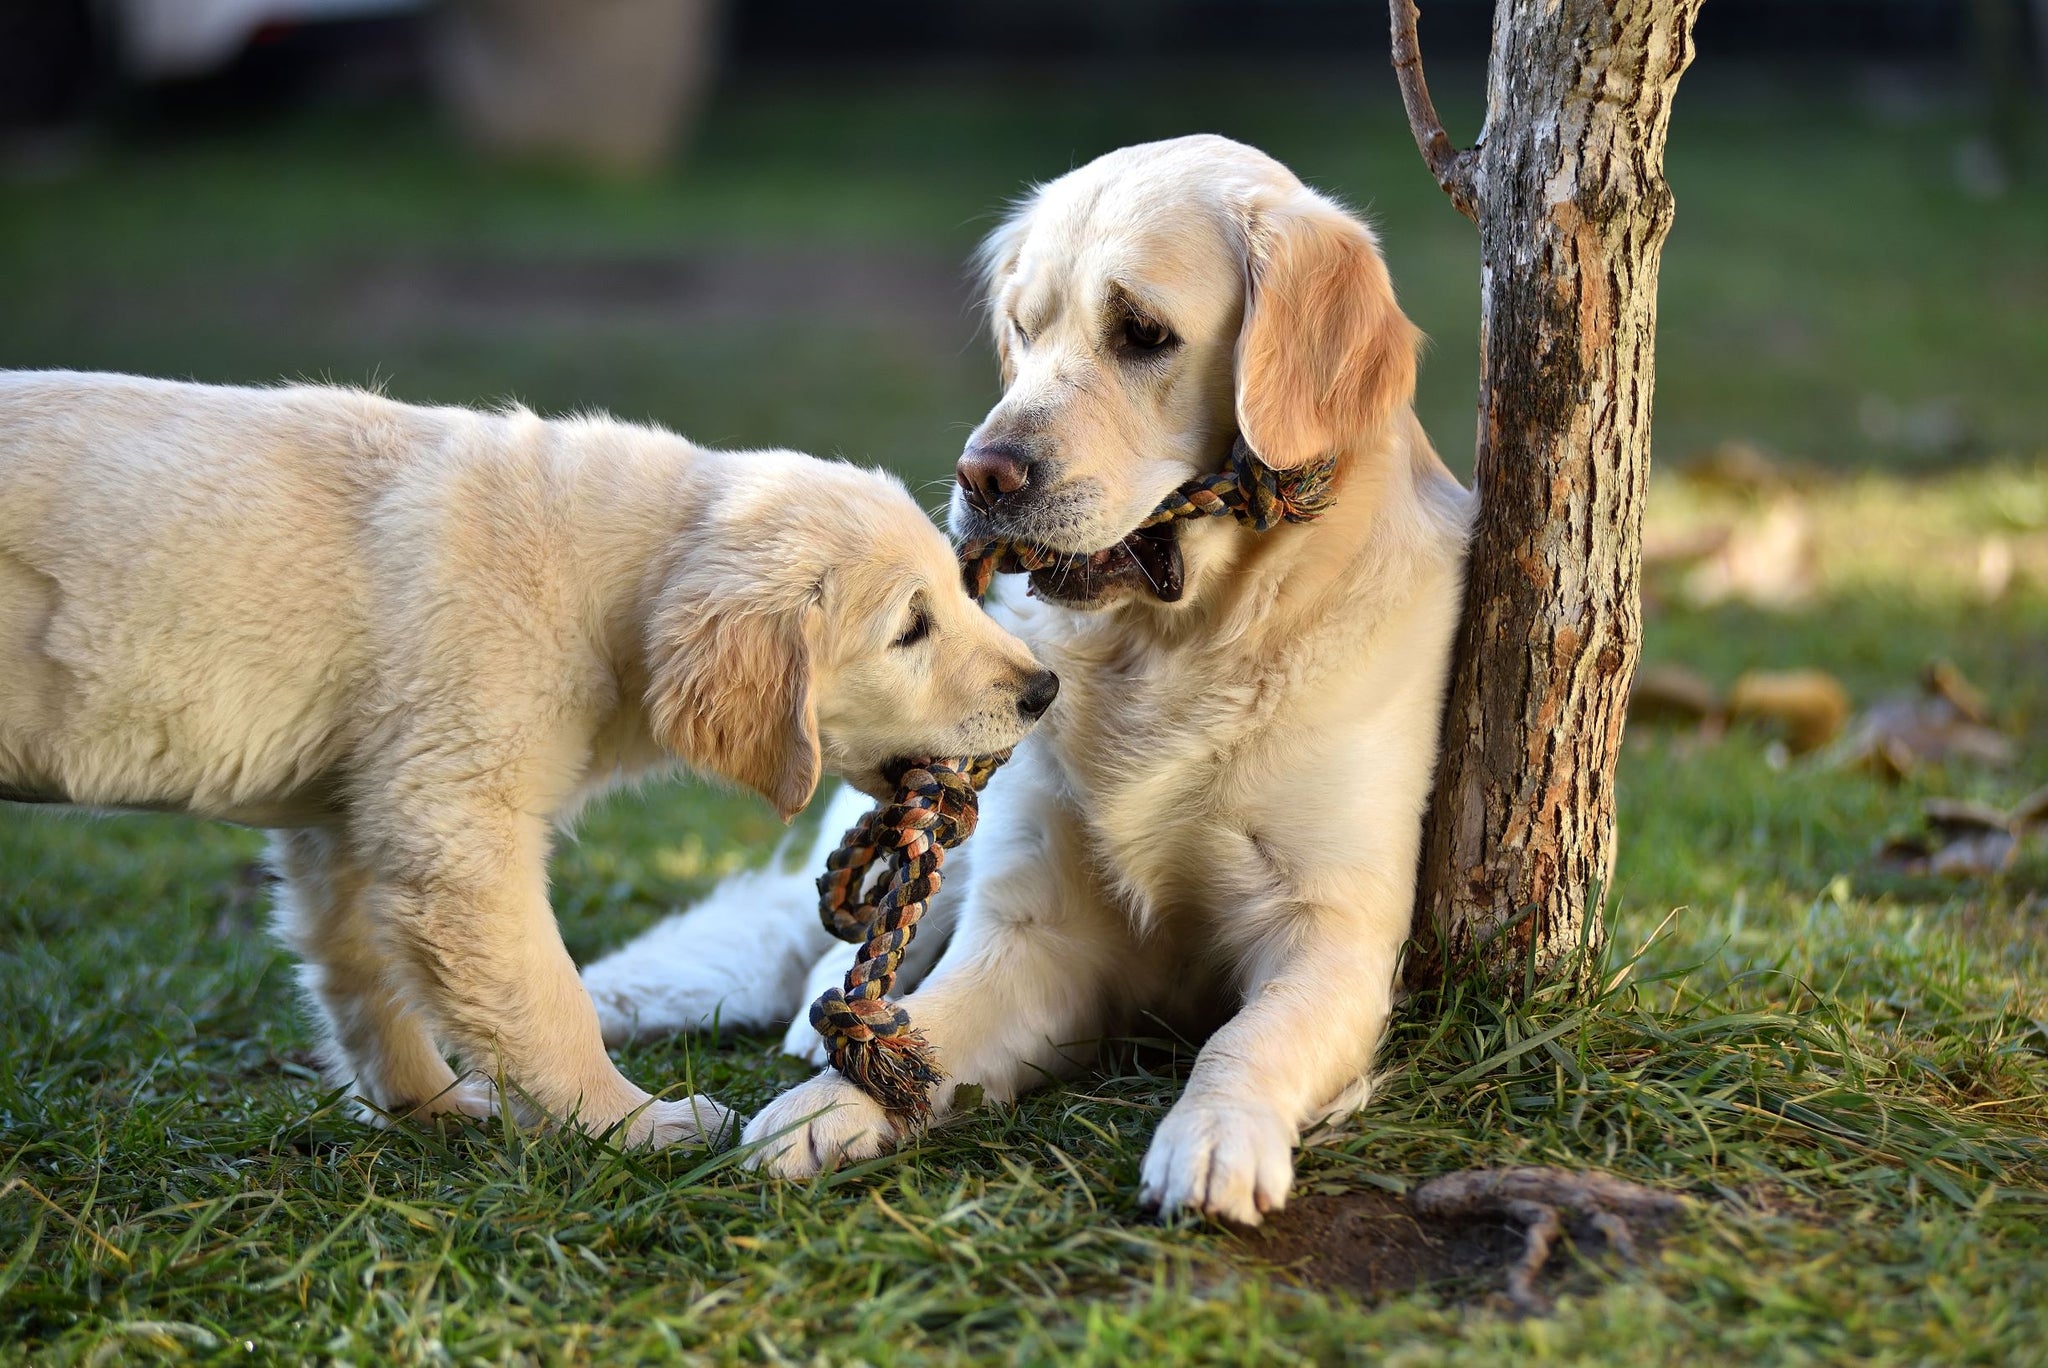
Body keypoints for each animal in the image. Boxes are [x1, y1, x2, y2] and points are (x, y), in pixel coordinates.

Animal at [0, 368, 1056, 1146]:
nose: (1045, 689)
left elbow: (361, 979)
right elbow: (547, 1000)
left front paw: (425, 1108)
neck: (609, 580)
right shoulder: (457, 827)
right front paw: (635, 1124)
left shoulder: (349, 820)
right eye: (910, 629)